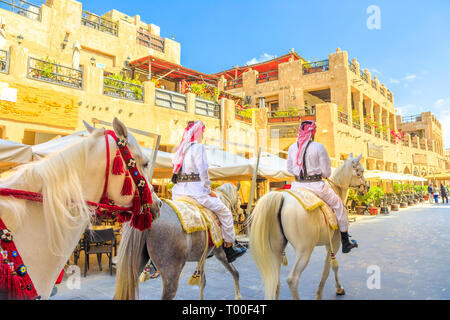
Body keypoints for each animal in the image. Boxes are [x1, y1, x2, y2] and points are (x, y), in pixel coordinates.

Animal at [250, 154, 370, 300]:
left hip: (276, 250)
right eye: (361, 171)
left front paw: (338, 288)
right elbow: (330, 268)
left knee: (275, 282)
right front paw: (330, 291)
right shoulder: (334, 243)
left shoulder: (328, 244)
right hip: (304, 250)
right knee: (292, 279)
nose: (367, 187)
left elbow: (331, 267)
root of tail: (281, 196)